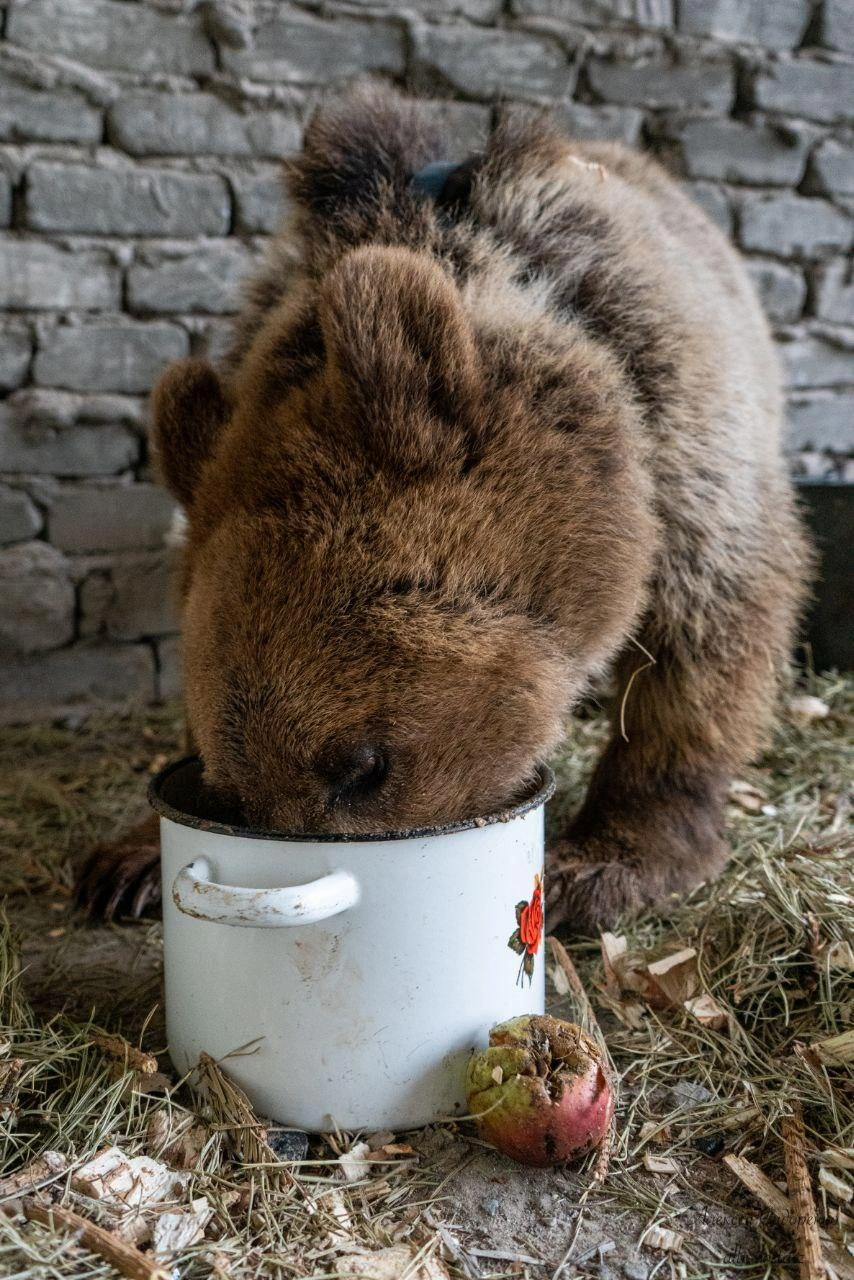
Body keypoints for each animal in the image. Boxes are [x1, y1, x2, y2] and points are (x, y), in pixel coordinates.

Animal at [76, 85, 814, 936]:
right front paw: (127, 863)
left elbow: (703, 643)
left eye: (363, 766)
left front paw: (603, 863)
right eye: (234, 790)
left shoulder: (686, 444)